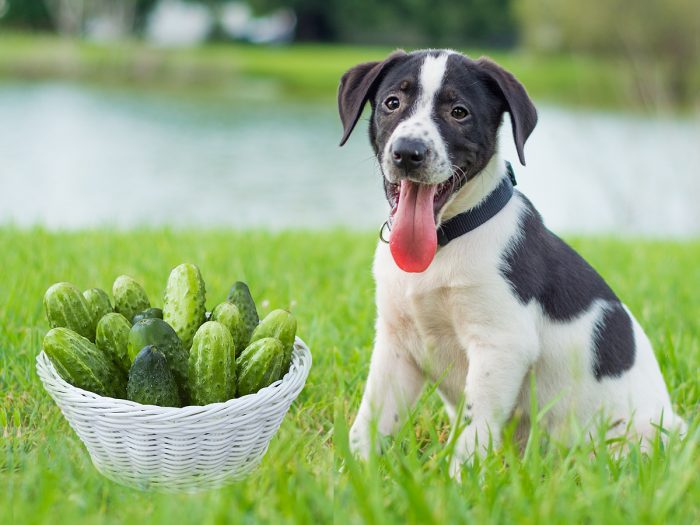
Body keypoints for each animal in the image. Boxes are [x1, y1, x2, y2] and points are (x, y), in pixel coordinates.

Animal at [336, 50, 688, 478]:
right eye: (392, 103)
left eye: (459, 112)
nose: (407, 153)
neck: (445, 242)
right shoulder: (396, 344)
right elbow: (369, 420)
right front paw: (352, 476)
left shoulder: (501, 345)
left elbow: (473, 429)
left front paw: (458, 484)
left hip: (629, 439)